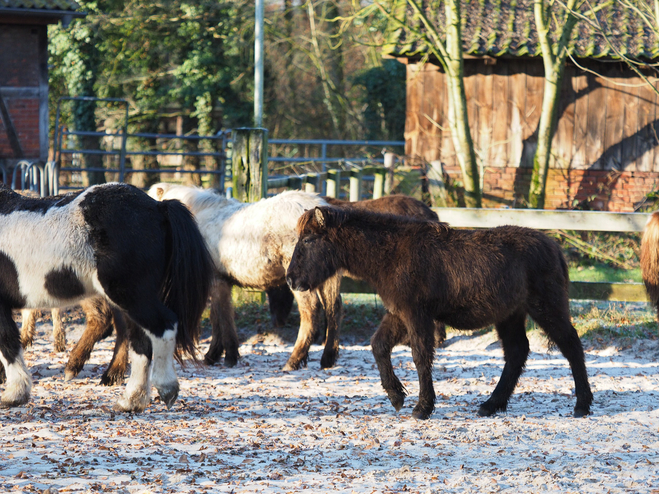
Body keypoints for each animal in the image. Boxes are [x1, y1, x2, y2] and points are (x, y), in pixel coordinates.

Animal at [0, 183, 211, 412]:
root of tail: (158, 207)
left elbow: (8, 342)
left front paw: (14, 394)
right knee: (140, 341)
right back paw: (131, 400)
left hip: (130, 296)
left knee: (163, 326)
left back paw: (164, 388)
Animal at [286, 206, 596, 418]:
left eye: (309, 240)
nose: (290, 279)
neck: (391, 254)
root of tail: (554, 248)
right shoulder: (398, 314)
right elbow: (379, 346)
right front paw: (396, 396)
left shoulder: (416, 315)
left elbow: (421, 356)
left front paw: (423, 407)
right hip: (510, 316)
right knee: (517, 352)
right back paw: (491, 405)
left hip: (547, 308)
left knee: (571, 345)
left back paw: (582, 404)